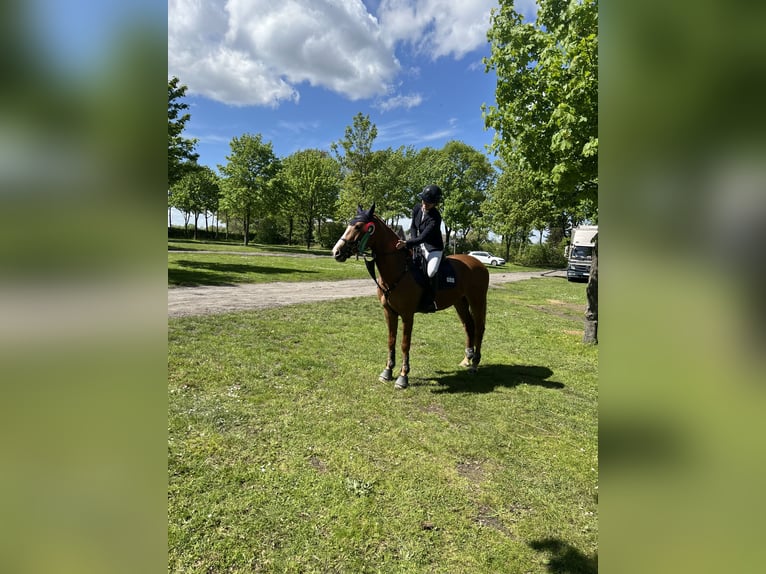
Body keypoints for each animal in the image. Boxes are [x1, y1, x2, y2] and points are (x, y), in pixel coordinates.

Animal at [332, 204, 488, 392]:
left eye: (358, 227)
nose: (336, 252)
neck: (398, 270)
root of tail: (478, 263)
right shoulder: (389, 312)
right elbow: (391, 340)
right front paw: (387, 371)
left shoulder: (407, 315)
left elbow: (404, 344)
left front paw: (403, 377)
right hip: (460, 302)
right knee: (468, 326)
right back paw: (466, 360)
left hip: (477, 301)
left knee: (479, 328)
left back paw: (475, 365)